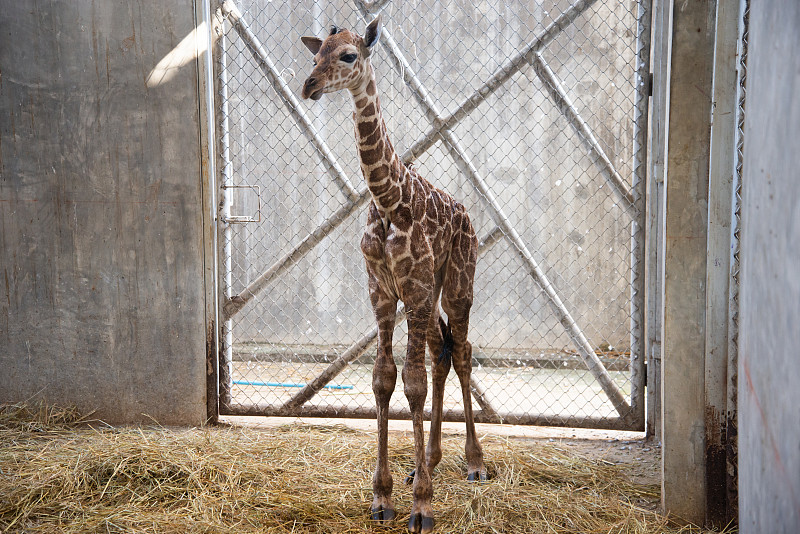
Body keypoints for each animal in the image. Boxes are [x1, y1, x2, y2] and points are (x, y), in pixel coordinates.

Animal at [304, 14, 484, 532]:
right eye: (315, 54)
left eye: (349, 55)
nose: (309, 86)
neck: (389, 200)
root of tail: (466, 213)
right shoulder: (383, 293)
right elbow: (384, 379)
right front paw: (383, 496)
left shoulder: (416, 290)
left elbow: (413, 384)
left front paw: (422, 507)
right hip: (430, 296)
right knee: (444, 352)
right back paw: (430, 462)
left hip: (457, 286)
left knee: (463, 352)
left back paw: (474, 463)